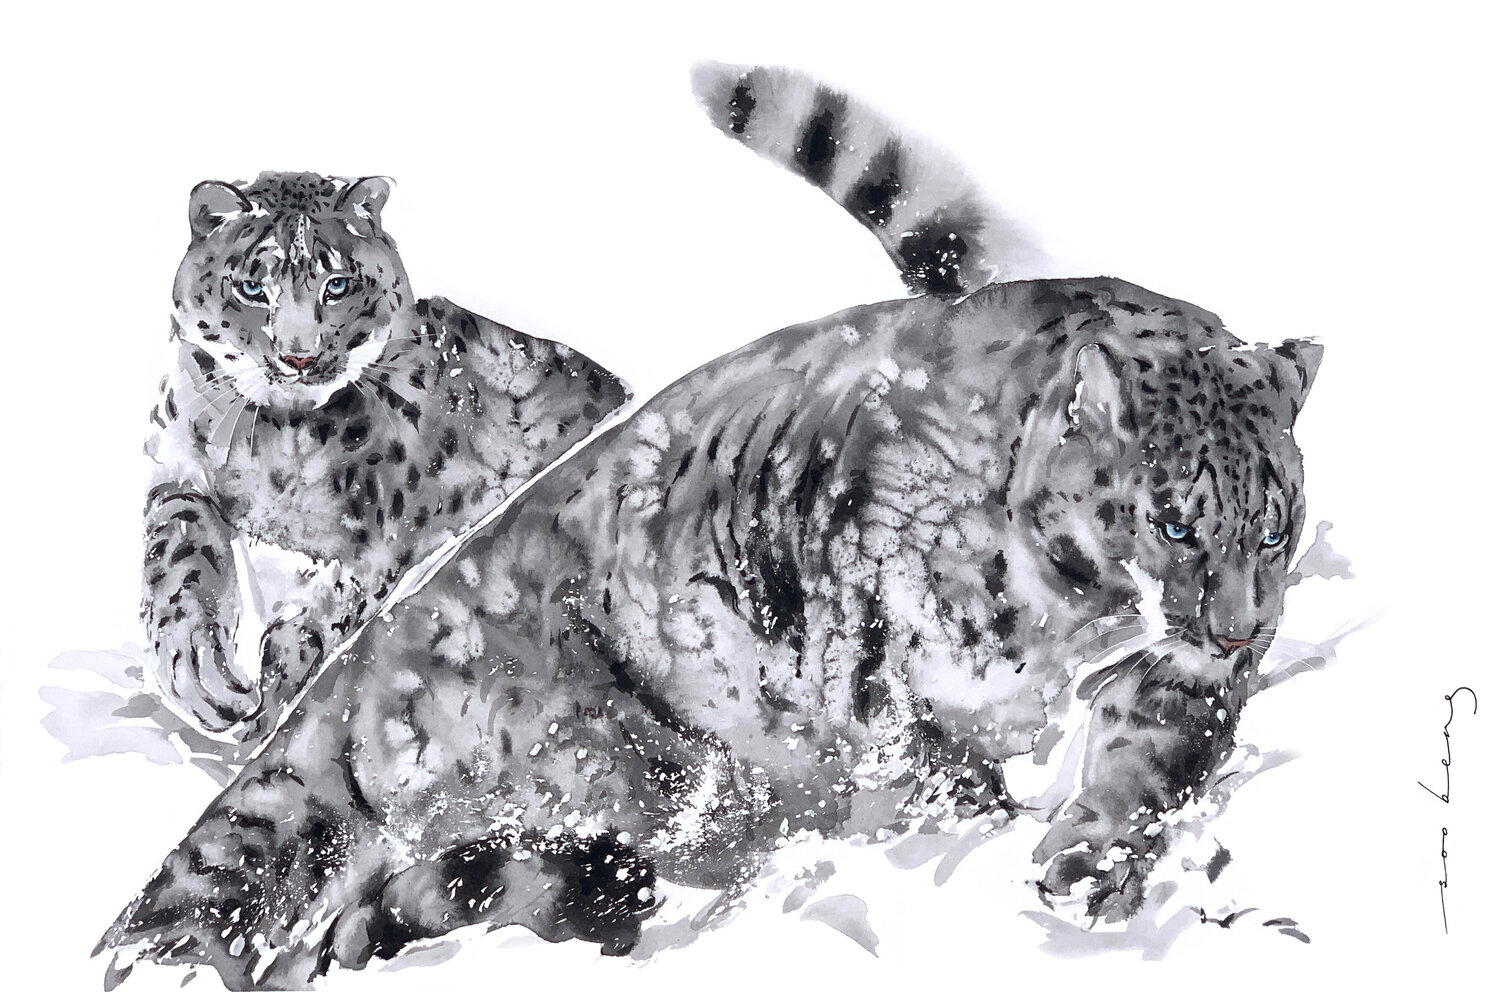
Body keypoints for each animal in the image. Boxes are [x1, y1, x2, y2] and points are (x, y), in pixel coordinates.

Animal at [141, 172, 629, 744]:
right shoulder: (177, 467)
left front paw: (268, 694)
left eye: (337, 285)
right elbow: (175, 555)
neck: (279, 443)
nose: (299, 357)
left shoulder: (377, 542)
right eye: (251, 288)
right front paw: (199, 673)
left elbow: (329, 610)